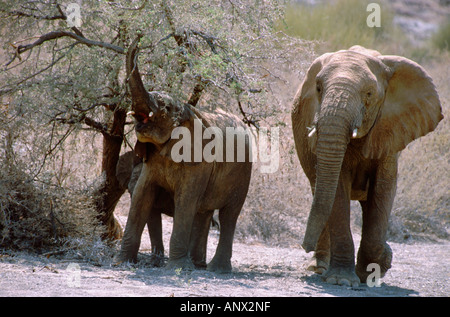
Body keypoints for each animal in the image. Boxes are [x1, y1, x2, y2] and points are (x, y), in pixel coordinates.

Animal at [114, 35, 251, 272]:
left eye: (165, 108)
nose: (139, 38)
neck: (187, 111)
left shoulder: (200, 163)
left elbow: (185, 200)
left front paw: (175, 268)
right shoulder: (151, 162)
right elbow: (142, 195)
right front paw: (121, 262)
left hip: (244, 172)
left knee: (229, 215)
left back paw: (216, 269)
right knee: (204, 211)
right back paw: (197, 265)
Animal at [292, 45, 442, 286]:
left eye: (369, 94)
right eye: (318, 88)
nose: (304, 246)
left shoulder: (391, 130)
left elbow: (383, 189)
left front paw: (376, 267)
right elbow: (338, 189)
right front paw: (342, 281)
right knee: (320, 193)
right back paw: (319, 268)